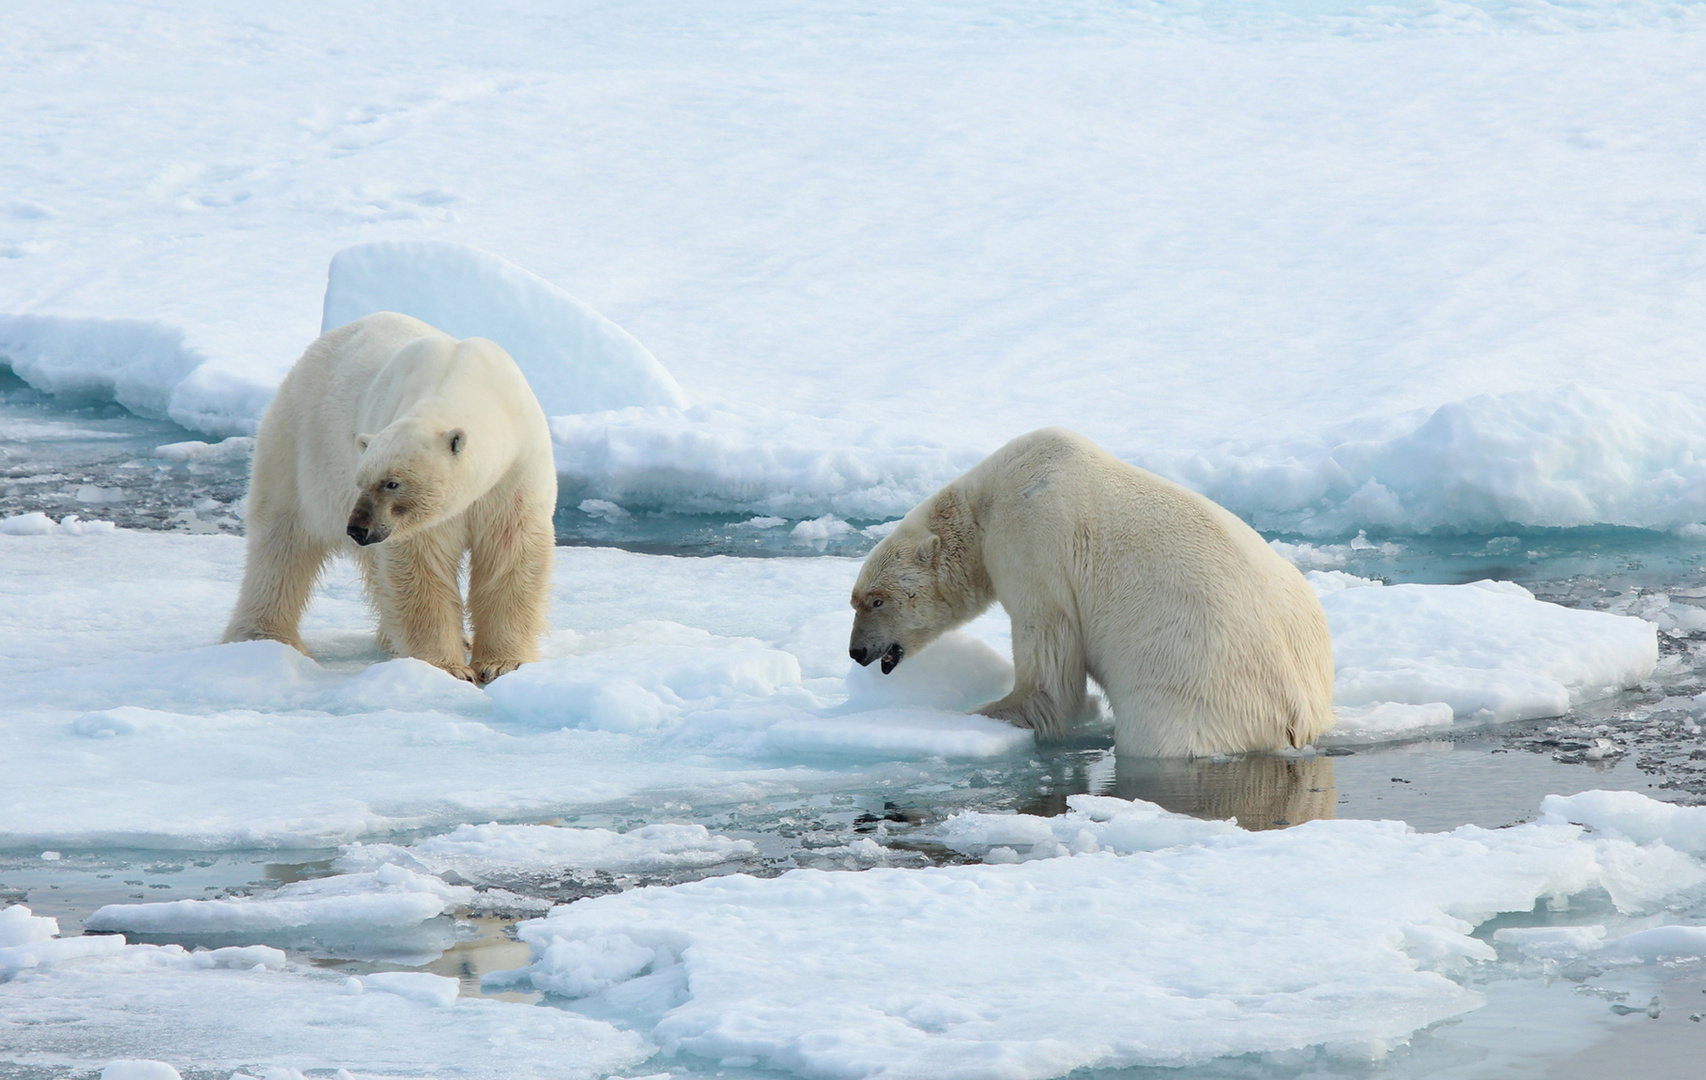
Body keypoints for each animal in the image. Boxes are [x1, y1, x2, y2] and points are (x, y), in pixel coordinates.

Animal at [223, 312, 556, 682]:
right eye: (362, 481)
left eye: (392, 483)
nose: (358, 528)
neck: (466, 378)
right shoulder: (413, 517)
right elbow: (419, 563)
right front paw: (449, 667)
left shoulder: (517, 472)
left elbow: (511, 554)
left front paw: (502, 663)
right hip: (297, 445)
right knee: (281, 542)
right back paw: (264, 636)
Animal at [849, 424, 1330, 754]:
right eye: (854, 600)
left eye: (877, 600)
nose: (857, 652)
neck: (988, 498)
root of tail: (1297, 713)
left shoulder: (1034, 543)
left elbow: (1050, 671)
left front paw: (977, 715)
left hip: (1197, 691)